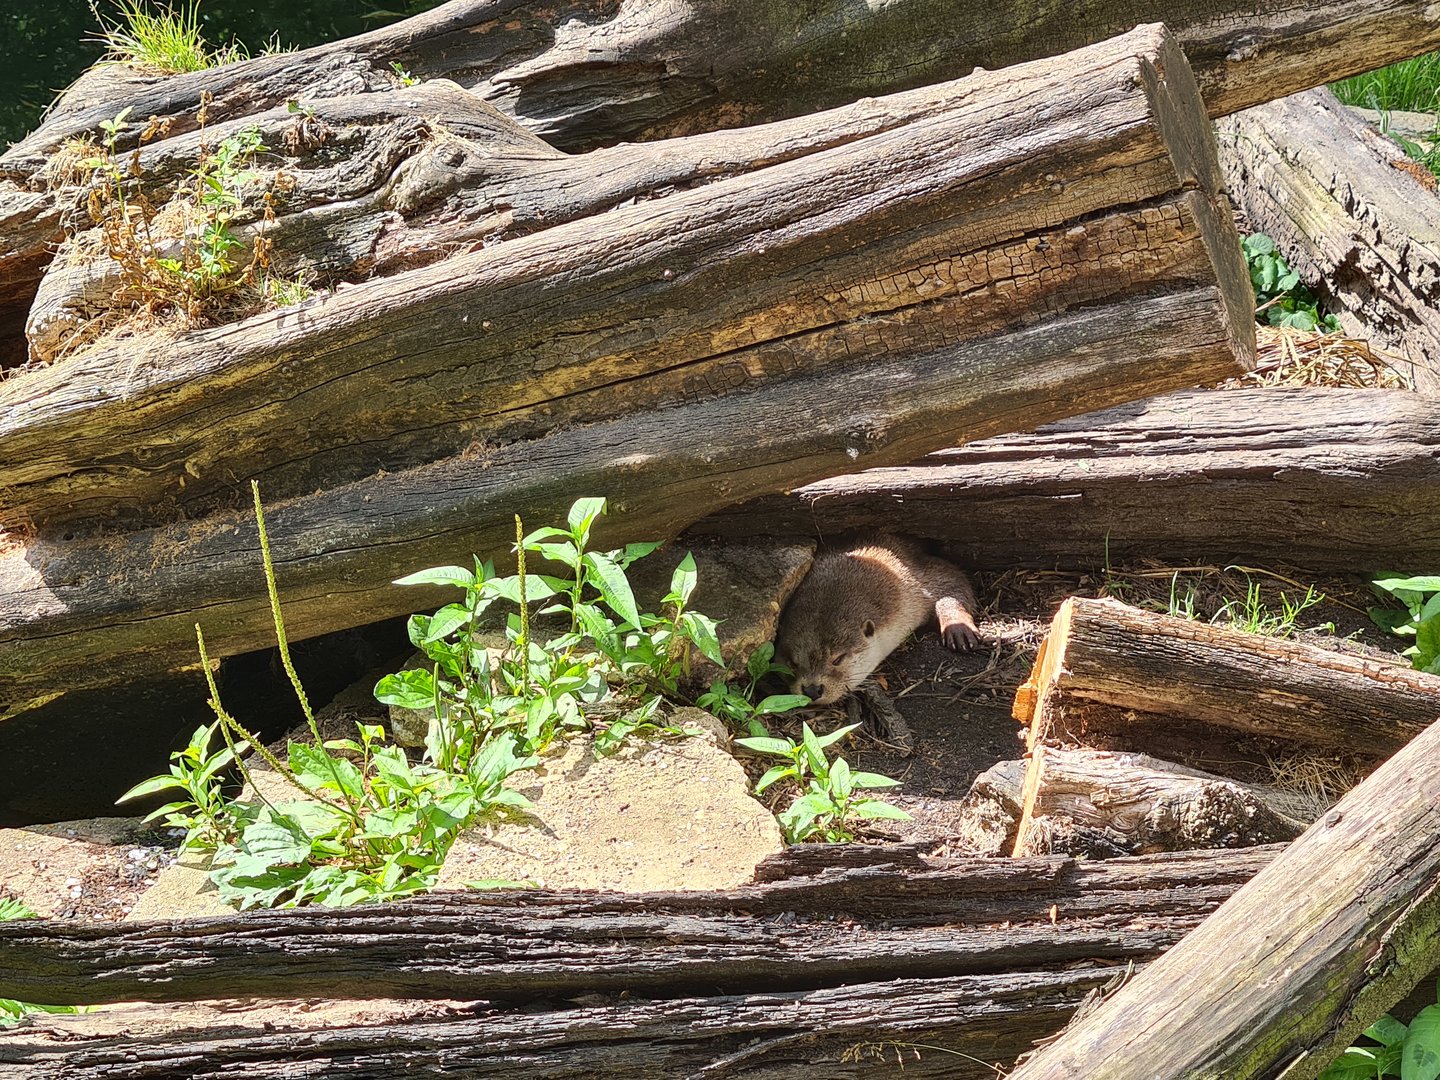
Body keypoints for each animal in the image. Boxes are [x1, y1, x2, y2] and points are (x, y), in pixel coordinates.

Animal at [774, 534, 984, 706]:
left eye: (838, 659)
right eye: (792, 662)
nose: (812, 690)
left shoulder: (915, 576)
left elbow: (954, 579)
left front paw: (958, 630)